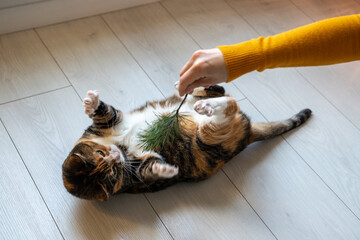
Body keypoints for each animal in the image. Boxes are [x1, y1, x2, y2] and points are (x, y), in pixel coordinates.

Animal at [62, 84, 312, 201]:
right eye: (112, 173)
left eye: (101, 154)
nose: (115, 157)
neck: (122, 148)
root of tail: (249, 131)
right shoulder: (136, 174)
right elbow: (149, 167)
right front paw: (166, 169)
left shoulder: (106, 124)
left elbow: (104, 112)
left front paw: (90, 102)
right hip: (208, 140)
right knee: (228, 107)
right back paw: (211, 108)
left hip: (199, 105)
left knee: (218, 91)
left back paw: (195, 90)